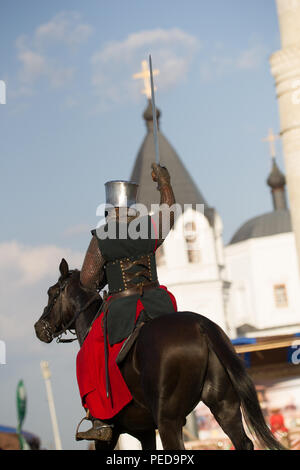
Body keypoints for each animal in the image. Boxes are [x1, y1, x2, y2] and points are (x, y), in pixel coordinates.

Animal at [34, 258, 284, 450]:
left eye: (52, 293)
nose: (39, 328)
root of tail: (201, 326)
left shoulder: (111, 436)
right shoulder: (144, 431)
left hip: (168, 421)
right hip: (224, 406)